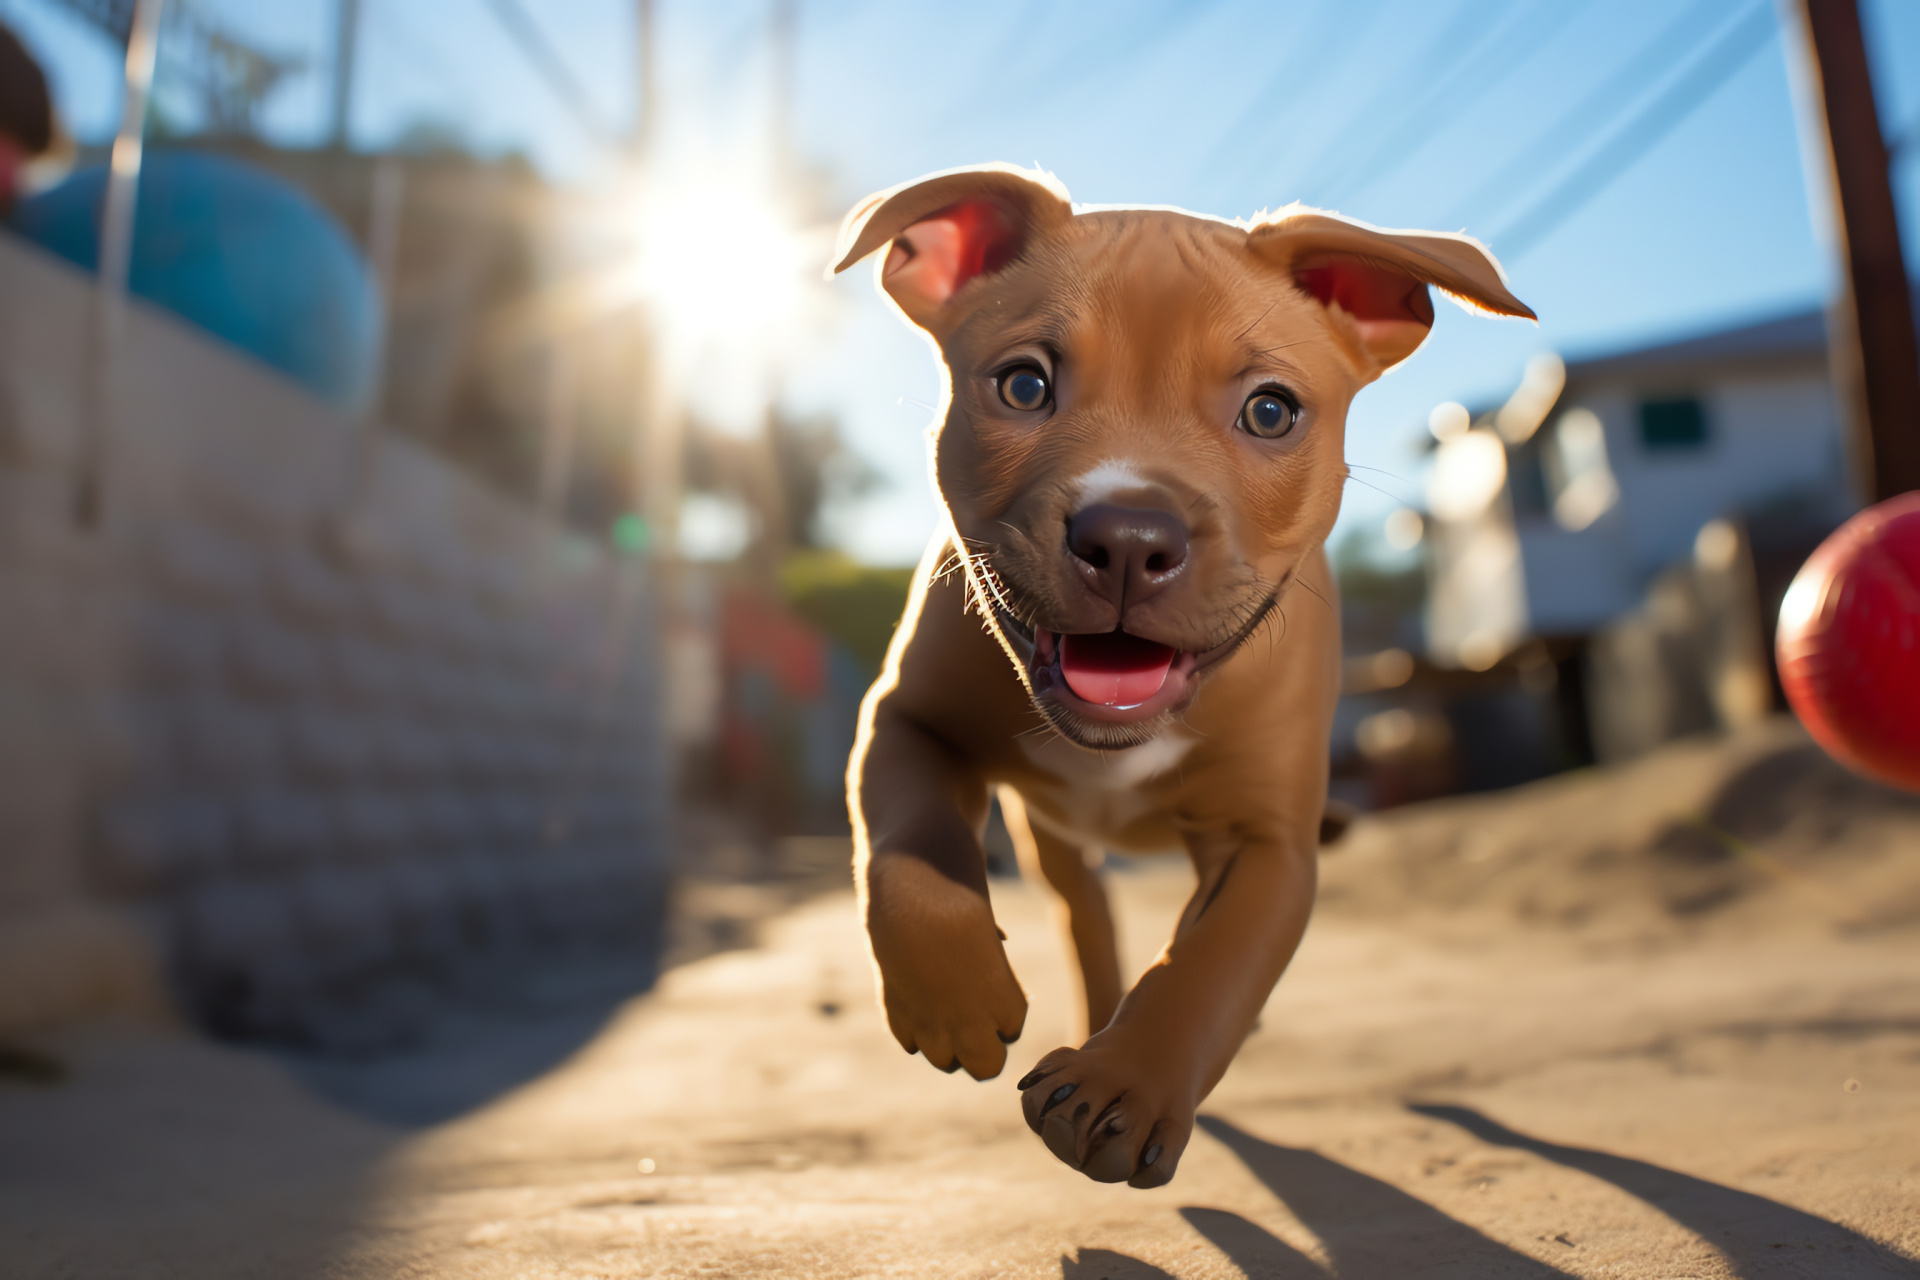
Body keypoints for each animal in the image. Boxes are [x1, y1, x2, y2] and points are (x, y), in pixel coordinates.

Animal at [837, 163, 1528, 1189]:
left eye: (1271, 411)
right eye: (1024, 385)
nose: (1127, 534)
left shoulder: (1266, 843)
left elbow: (1210, 965)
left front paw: (1122, 1085)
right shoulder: (904, 720)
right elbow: (910, 851)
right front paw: (953, 997)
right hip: (1055, 845)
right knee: (1087, 922)